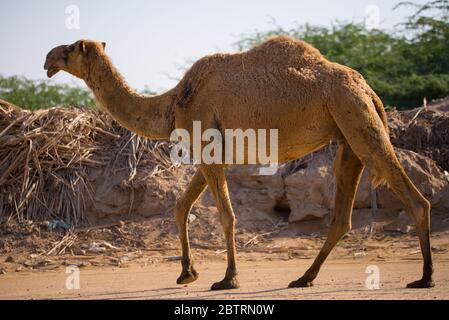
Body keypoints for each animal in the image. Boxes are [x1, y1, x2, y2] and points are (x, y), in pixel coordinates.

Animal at [43, 36, 432, 292]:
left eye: (69, 48)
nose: (47, 59)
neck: (172, 102)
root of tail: (369, 89)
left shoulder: (206, 143)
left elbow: (226, 215)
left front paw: (228, 278)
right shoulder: (210, 154)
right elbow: (181, 207)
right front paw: (187, 273)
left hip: (355, 115)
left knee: (413, 197)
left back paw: (425, 277)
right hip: (348, 133)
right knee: (342, 217)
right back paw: (303, 278)